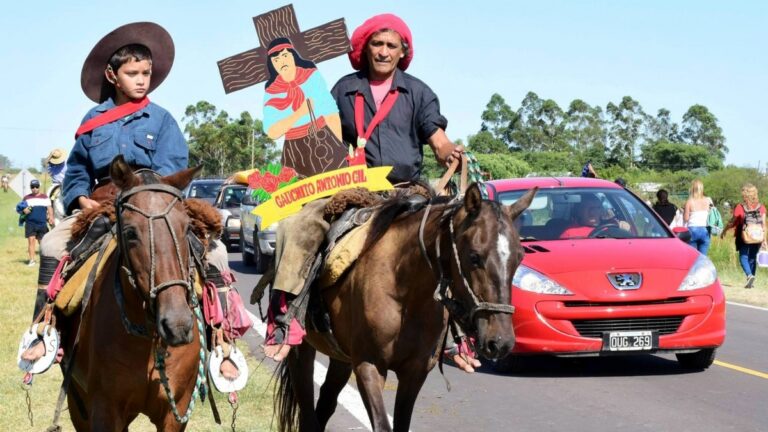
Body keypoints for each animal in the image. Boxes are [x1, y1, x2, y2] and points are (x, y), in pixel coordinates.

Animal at [57, 157, 206, 430]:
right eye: (129, 232)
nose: (177, 324)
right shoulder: (104, 410)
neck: (148, 340)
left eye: (186, 228)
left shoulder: (175, 412)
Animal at [274, 184, 536, 430]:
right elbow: (382, 424)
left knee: (325, 403)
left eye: (520, 257)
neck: (406, 295)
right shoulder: (369, 366)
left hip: (341, 357)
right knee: (308, 412)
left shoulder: (415, 372)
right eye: (474, 256)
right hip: (302, 350)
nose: (500, 342)